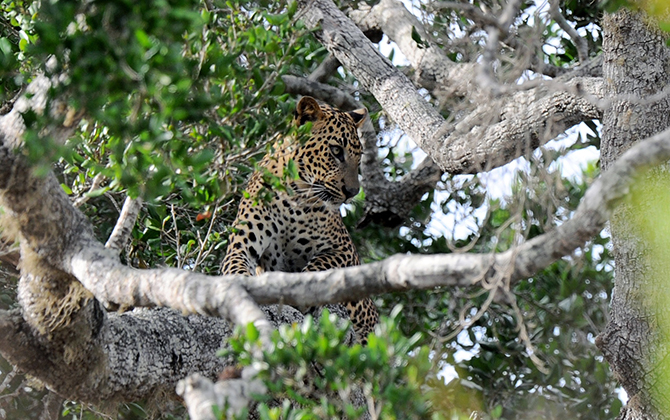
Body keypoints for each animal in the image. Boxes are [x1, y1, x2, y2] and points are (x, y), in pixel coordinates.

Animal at [223, 96, 380, 344]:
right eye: (336, 151)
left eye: (359, 158)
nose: (353, 192)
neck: (295, 196)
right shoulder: (242, 244)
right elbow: (236, 266)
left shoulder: (343, 251)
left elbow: (317, 268)